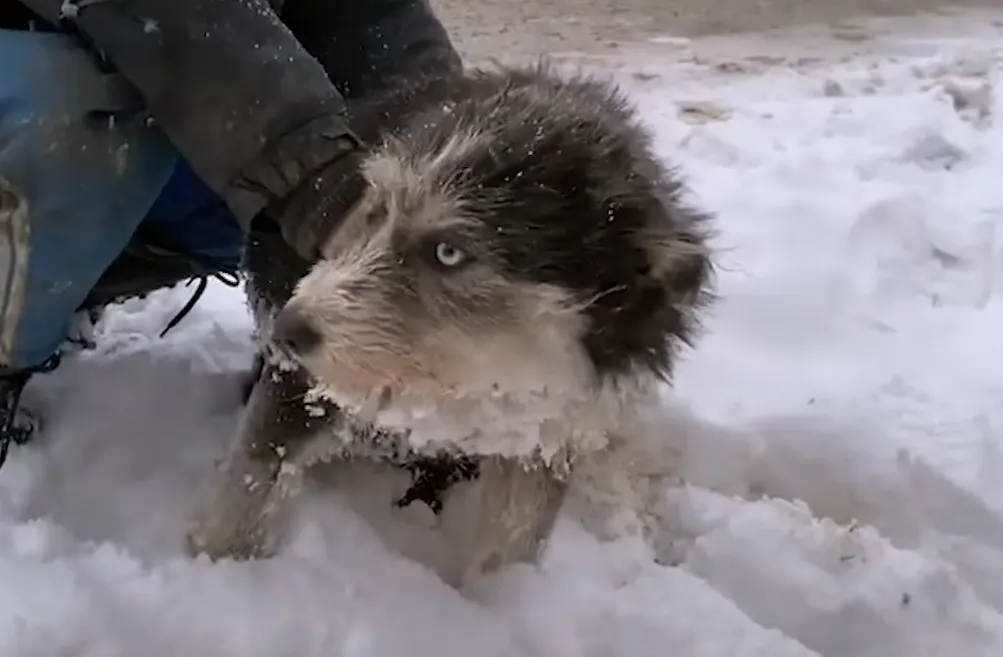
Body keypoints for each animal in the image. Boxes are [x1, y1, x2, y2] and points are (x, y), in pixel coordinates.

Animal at [182, 60, 714, 585]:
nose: (288, 331)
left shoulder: (550, 431)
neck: (478, 378)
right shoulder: (301, 392)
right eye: (375, 213)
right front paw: (217, 574)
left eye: (448, 252)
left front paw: (503, 598)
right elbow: (248, 488)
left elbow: (511, 544)